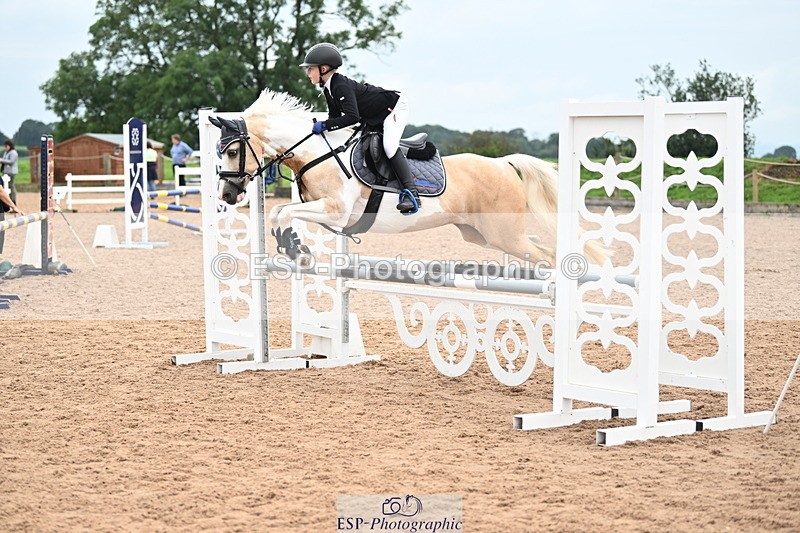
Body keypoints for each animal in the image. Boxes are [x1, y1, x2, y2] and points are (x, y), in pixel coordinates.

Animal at [211, 89, 606, 266]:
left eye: (231, 152)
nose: (227, 196)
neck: (315, 153)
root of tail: (503, 163)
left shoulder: (336, 211)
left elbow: (284, 212)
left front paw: (295, 247)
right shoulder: (324, 212)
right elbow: (281, 214)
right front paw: (294, 246)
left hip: (505, 235)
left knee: (547, 256)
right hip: (485, 237)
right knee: (542, 248)